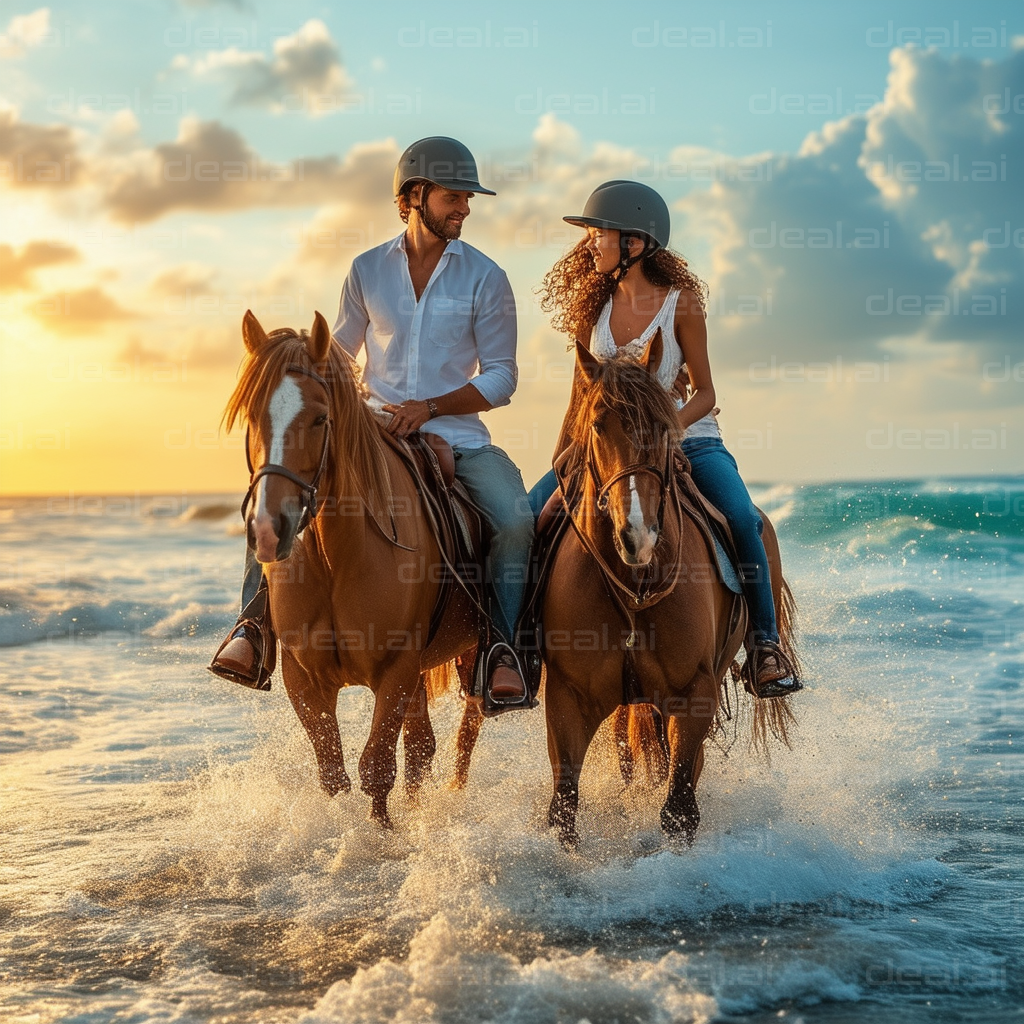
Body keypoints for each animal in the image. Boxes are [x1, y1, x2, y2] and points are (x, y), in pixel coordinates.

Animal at [230, 309, 485, 823]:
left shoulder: (396, 670)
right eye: (252, 416)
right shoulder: (304, 679)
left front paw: (381, 833)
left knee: (464, 735)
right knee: (423, 748)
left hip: (473, 657)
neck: (336, 561)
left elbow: (377, 768)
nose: (267, 530)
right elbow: (334, 774)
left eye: (320, 417)